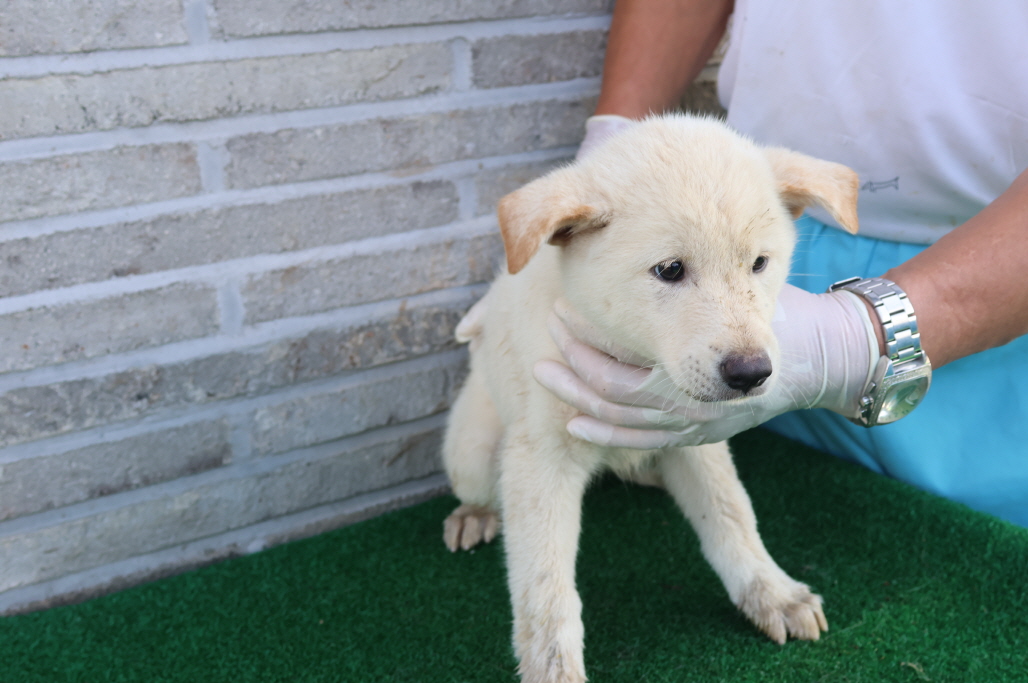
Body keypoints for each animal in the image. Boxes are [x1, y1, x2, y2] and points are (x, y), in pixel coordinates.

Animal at [442, 113, 859, 682]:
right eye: (669, 270)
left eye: (759, 263)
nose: (752, 373)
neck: (629, 358)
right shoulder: (541, 458)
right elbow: (544, 589)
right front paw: (555, 669)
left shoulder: (696, 436)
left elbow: (731, 514)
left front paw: (770, 592)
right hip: (473, 450)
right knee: (479, 486)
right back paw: (475, 515)